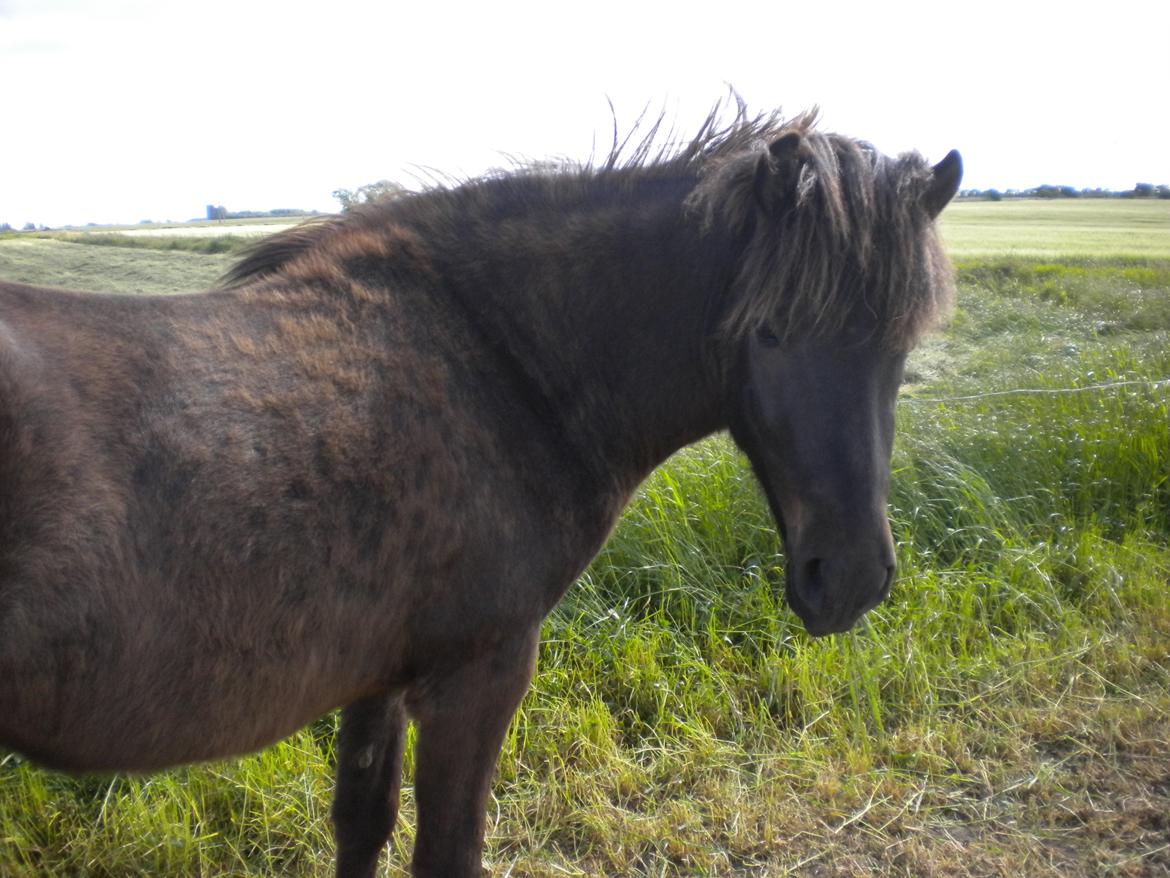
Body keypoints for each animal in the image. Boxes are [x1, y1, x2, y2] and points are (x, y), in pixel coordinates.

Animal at [0, 106, 964, 875]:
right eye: (767, 331)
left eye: (903, 340)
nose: (850, 579)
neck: (498, 358)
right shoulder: (479, 677)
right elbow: (446, 851)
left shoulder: (378, 680)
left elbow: (363, 823)